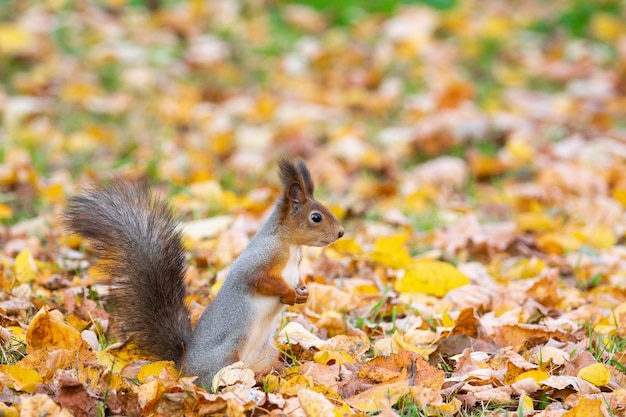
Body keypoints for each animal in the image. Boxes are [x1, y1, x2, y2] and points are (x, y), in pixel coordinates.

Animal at [66, 159, 344, 386]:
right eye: (316, 217)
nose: (341, 233)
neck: (292, 246)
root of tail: (184, 366)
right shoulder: (261, 259)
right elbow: (258, 280)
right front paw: (290, 294)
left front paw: (303, 293)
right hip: (225, 359)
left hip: (266, 355)